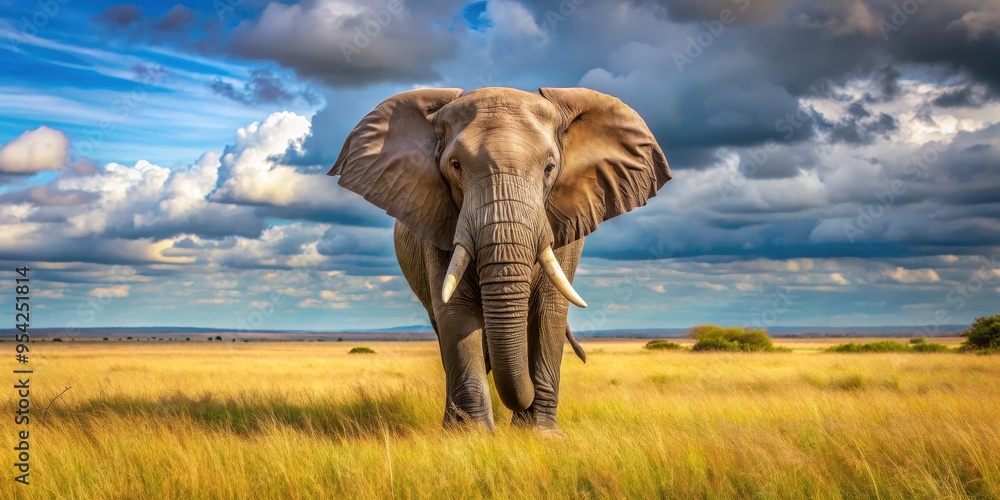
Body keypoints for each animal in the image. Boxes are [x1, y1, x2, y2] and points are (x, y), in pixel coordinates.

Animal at [328, 87, 671, 433]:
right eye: (455, 165)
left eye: (549, 168)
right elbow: (456, 314)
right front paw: (472, 435)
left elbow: (549, 312)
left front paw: (540, 434)